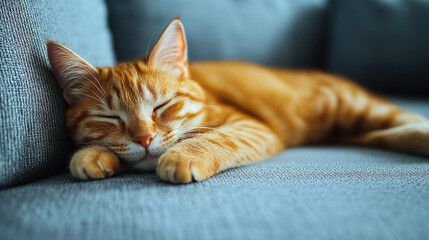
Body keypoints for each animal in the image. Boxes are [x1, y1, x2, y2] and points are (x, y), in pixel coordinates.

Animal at [46, 17, 428, 184]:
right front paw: (93, 155)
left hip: (359, 108)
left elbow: (215, 138)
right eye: (110, 118)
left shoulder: (249, 126)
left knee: (408, 120)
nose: (144, 139)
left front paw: (183, 155)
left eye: (161, 107)